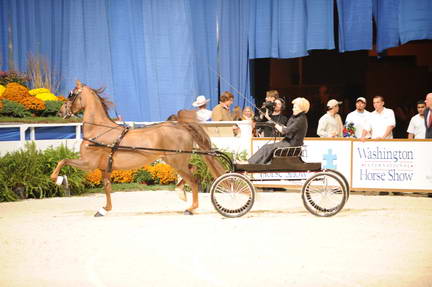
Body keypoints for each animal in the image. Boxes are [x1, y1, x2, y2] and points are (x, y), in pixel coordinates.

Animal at [51, 80, 226, 216]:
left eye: (71, 95)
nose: (60, 112)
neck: (98, 131)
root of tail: (181, 126)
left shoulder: (88, 163)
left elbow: (63, 160)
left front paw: (58, 179)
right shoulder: (104, 168)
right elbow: (107, 187)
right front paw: (104, 209)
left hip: (176, 161)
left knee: (194, 180)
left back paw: (190, 208)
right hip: (176, 160)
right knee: (193, 168)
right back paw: (180, 191)